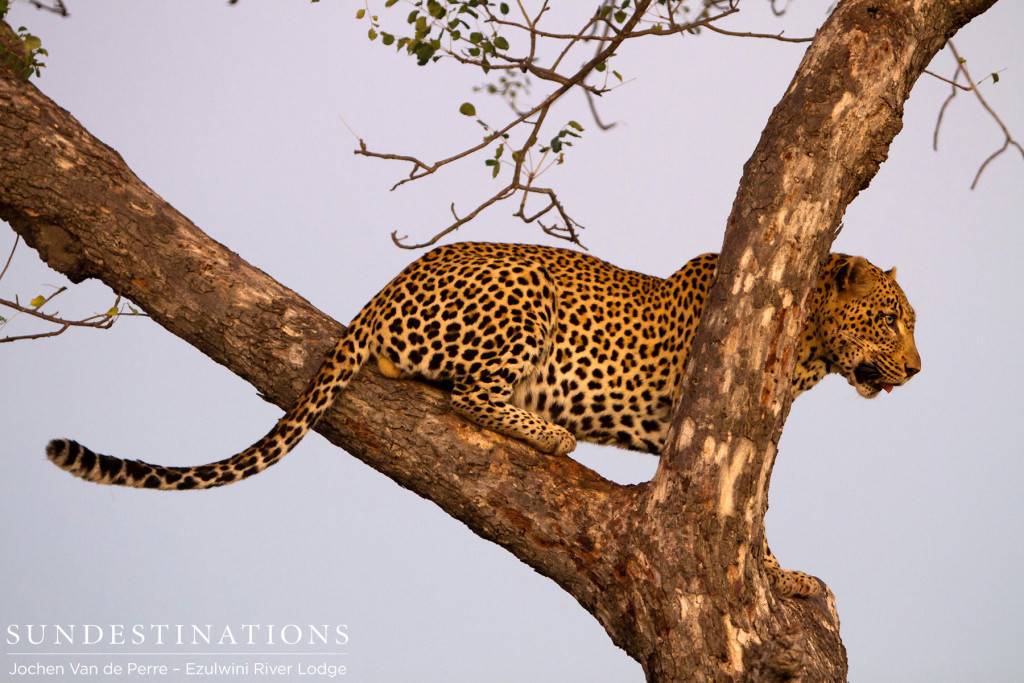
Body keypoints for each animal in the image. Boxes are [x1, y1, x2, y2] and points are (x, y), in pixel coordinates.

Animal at [44, 242, 921, 593]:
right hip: (525, 291)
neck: (807, 346)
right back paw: (552, 429)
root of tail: (397, 278)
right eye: (889, 319)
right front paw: (785, 576)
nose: (916, 370)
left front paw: (786, 576)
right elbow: (749, 522)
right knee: (470, 395)